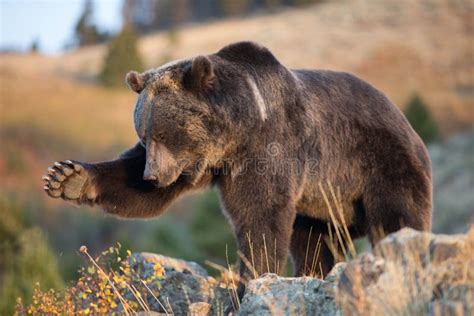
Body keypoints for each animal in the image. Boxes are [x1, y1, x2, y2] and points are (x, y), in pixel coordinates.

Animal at [42, 40, 432, 292]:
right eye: (144, 132)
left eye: (165, 131)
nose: (152, 176)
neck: (236, 132)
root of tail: (407, 123)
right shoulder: (204, 164)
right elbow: (135, 188)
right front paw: (66, 177)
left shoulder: (269, 147)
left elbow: (260, 215)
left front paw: (252, 278)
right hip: (323, 203)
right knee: (315, 241)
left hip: (380, 165)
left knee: (397, 218)